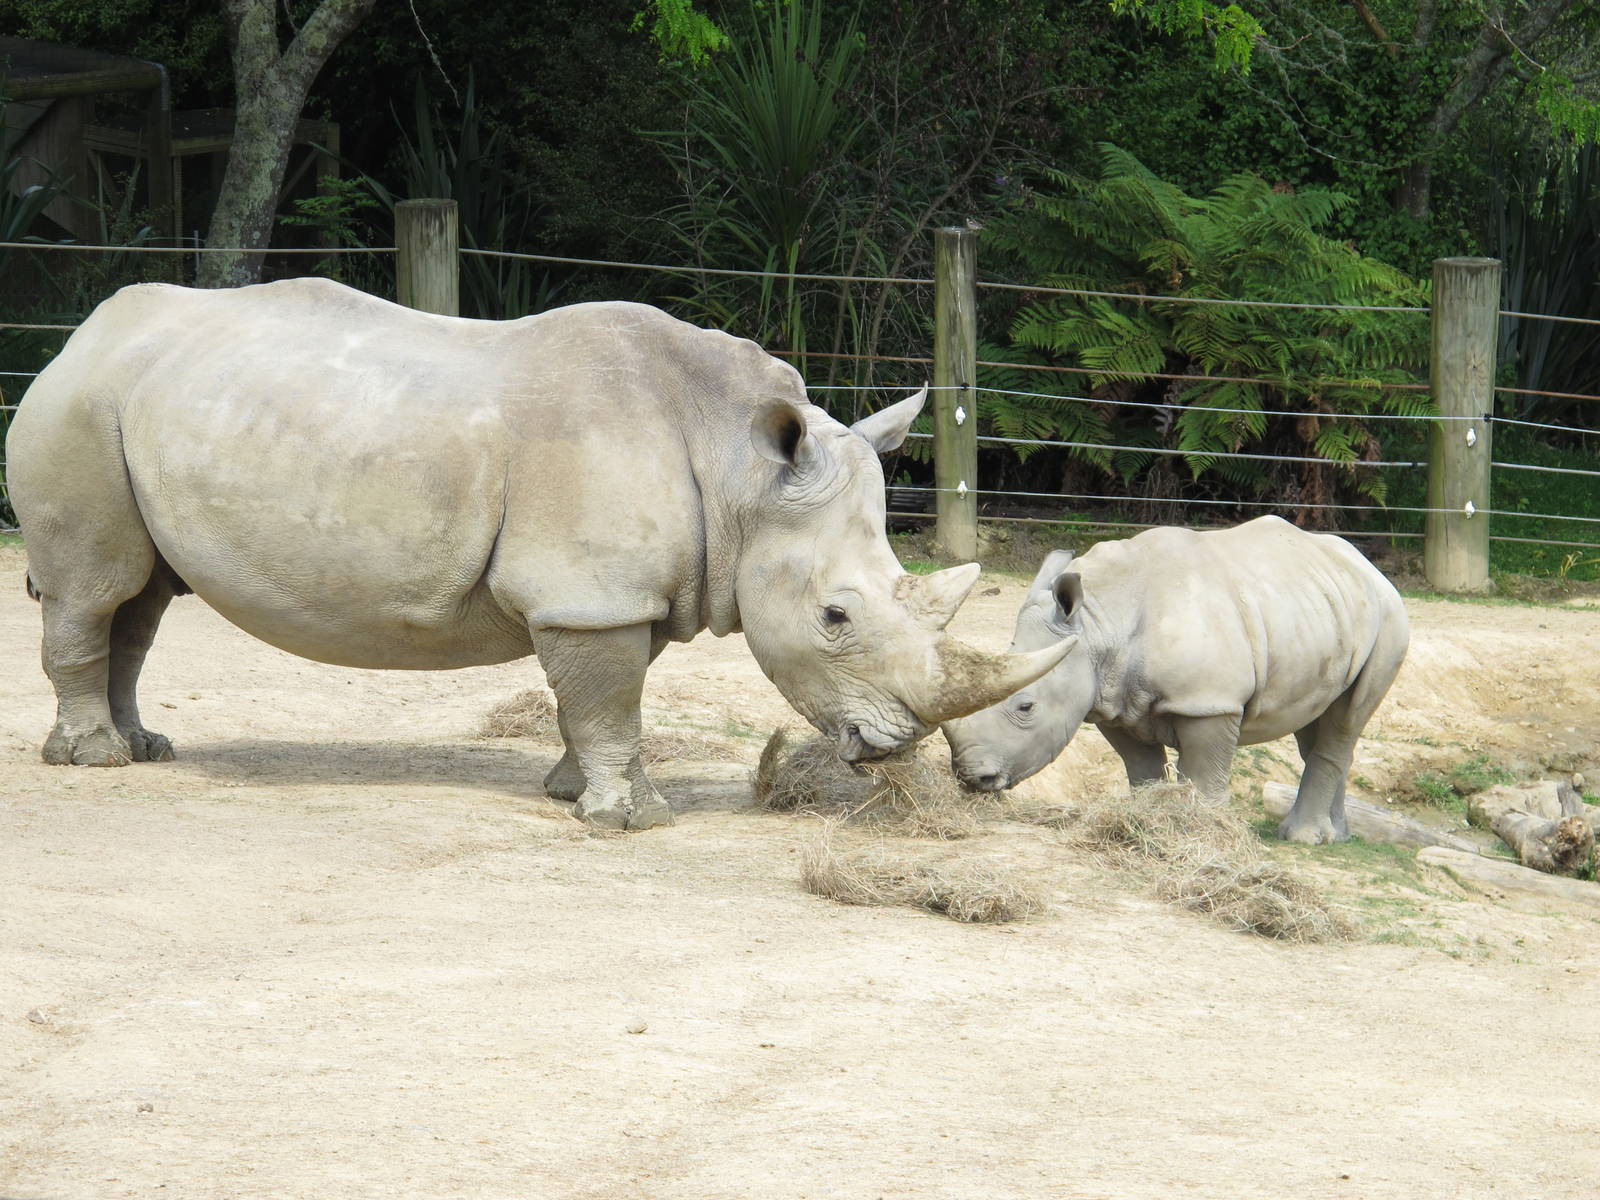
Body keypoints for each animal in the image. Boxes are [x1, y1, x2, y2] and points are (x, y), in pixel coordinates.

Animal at [6, 279, 1072, 829]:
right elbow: (607, 696)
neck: (740, 474)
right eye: (836, 616)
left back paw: (145, 748)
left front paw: (580, 792)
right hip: (76, 408)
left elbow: (602, 694)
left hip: (137, 406)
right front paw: (628, 820)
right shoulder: (589, 591)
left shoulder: (620, 590)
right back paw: (94, 761)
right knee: (95, 590)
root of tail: (82, 332)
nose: (896, 746)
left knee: (144, 599)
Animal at [943, 517, 1409, 843]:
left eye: (1026, 707)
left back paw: (1304, 839)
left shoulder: (1209, 700)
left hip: (1389, 616)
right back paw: (1337, 836)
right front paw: (1149, 820)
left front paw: (1204, 832)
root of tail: (1367, 566)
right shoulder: (1111, 700)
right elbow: (1141, 769)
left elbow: (1203, 774)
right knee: (1319, 720)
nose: (971, 778)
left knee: (1346, 720)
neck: (1099, 623)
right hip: (1323, 608)